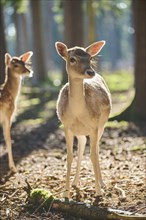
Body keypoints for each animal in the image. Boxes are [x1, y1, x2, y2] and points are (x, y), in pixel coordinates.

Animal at [55, 41, 112, 198]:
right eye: (72, 59)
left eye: (90, 58)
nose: (90, 72)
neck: (78, 113)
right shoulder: (66, 126)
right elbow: (69, 156)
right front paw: (66, 194)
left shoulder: (94, 126)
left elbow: (93, 155)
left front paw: (98, 191)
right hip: (79, 131)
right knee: (82, 142)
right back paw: (75, 182)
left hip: (102, 124)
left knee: (96, 149)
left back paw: (102, 183)